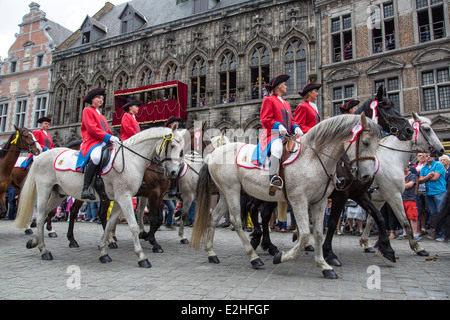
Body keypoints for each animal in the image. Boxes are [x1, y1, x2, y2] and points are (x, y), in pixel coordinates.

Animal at [14, 127, 184, 268]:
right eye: (173, 146)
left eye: (182, 150)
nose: (174, 172)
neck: (131, 160)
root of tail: (41, 156)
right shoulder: (132, 196)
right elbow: (136, 225)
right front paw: (143, 255)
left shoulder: (123, 199)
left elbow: (110, 223)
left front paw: (103, 251)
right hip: (45, 189)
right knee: (42, 216)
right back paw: (45, 250)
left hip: (60, 193)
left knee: (48, 214)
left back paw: (36, 242)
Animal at [192, 114, 382, 278]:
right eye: (365, 142)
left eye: (377, 144)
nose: (367, 175)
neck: (312, 157)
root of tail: (213, 154)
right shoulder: (299, 200)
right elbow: (305, 234)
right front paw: (282, 257)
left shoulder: (320, 202)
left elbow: (319, 232)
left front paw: (324, 265)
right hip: (232, 191)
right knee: (237, 221)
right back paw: (254, 257)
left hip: (227, 193)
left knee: (215, 217)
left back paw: (212, 253)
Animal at [248, 85, 414, 260]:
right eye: (387, 107)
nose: (409, 130)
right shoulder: (341, 195)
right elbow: (333, 222)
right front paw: (329, 252)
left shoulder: (359, 194)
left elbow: (378, 217)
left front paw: (387, 249)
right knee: (258, 211)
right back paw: (262, 241)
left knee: (262, 212)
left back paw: (267, 244)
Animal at [360, 113, 444, 255]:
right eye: (427, 129)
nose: (442, 149)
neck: (391, 158)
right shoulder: (394, 196)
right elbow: (405, 222)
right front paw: (418, 247)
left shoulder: (379, 199)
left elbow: (371, 220)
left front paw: (366, 244)